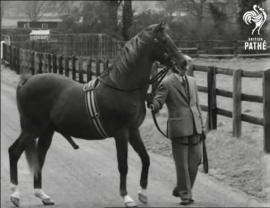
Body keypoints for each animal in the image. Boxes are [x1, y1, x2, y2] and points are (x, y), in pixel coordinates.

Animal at [9, 21, 188, 208]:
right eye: (163, 40)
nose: (184, 63)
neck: (123, 87)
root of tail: (27, 80)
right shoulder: (121, 133)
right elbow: (123, 165)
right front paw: (127, 197)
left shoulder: (133, 131)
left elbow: (145, 159)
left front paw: (143, 194)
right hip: (32, 129)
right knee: (14, 152)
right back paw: (15, 195)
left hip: (46, 131)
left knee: (39, 158)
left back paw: (42, 195)